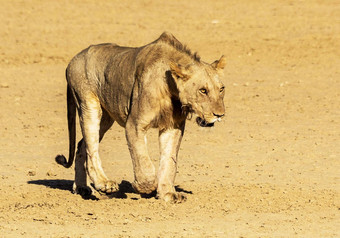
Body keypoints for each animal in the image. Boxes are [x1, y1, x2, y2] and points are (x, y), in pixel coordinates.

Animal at [55, 32, 226, 203]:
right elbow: (142, 158)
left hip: (106, 118)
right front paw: (144, 186)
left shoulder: (172, 127)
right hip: (88, 104)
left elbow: (169, 161)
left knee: (81, 146)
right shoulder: (134, 124)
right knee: (92, 148)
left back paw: (81, 187)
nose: (220, 115)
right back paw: (104, 184)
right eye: (203, 90)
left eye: (221, 89)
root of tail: (73, 59)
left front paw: (168, 194)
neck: (171, 90)